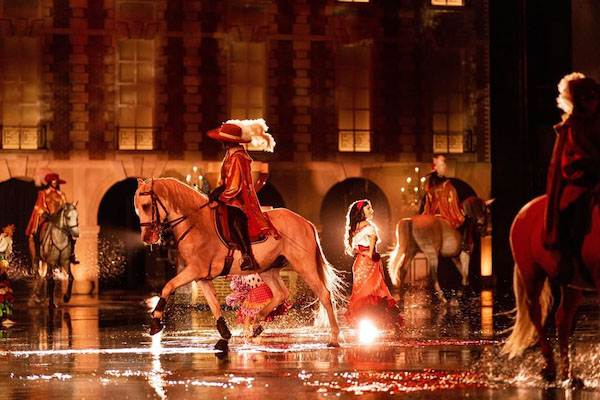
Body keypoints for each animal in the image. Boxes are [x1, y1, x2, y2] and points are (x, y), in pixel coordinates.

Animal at [134, 177, 344, 346]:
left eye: (146, 206)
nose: (147, 237)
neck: (196, 223)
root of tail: (306, 223)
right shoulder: (202, 277)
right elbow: (214, 304)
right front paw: (224, 331)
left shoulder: (194, 270)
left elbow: (168, 286)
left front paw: (155, 322)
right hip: (267, 269)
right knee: (281, 294)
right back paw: (256, 321)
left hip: (304, 265)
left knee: (324, 295)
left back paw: (334, 338)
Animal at [502, 195, 600, 386]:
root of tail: (525, 209)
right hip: (531, 274)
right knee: (535, 312)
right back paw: (550, 367)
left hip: (570, 284)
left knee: (562, 319)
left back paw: (568, 374)